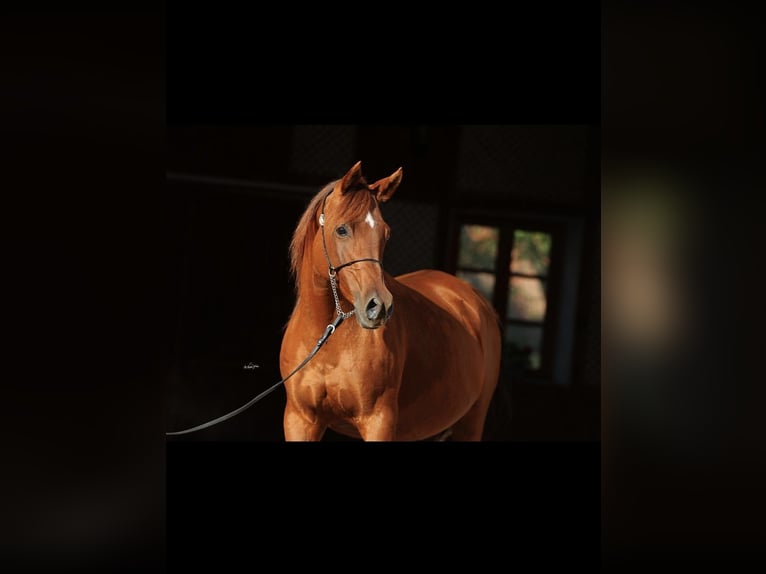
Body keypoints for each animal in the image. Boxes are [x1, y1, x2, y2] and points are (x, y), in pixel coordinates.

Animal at [279, 161, 502, 441]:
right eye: (341, 229)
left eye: (385, 233)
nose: (379, 306)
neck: (329, 340)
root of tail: (474, 300)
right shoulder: (301, 420)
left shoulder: (378, 420)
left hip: (470, 423)